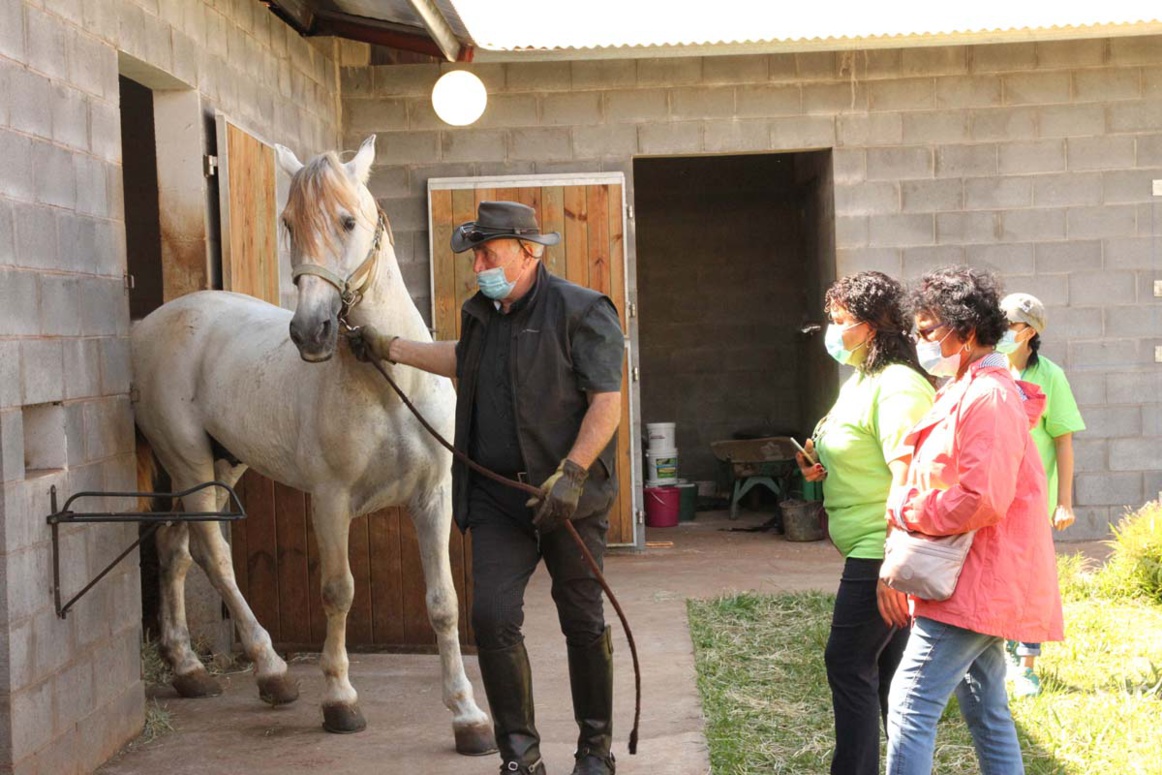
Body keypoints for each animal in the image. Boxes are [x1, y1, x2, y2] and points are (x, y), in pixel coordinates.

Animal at [133, 136, 495, 752]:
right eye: (288, 223)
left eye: (348, 221)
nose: (311, 333)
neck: (384, 385)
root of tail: (152, 324)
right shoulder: (331, 501)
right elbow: (338, 591)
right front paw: (340, 701)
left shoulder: (432, 497)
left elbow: (444, 604)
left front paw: (468, 716)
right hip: (189, 464)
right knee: (213, 554)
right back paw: (272, 672)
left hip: (218, 467)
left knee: (176, 549)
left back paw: (188, 669)